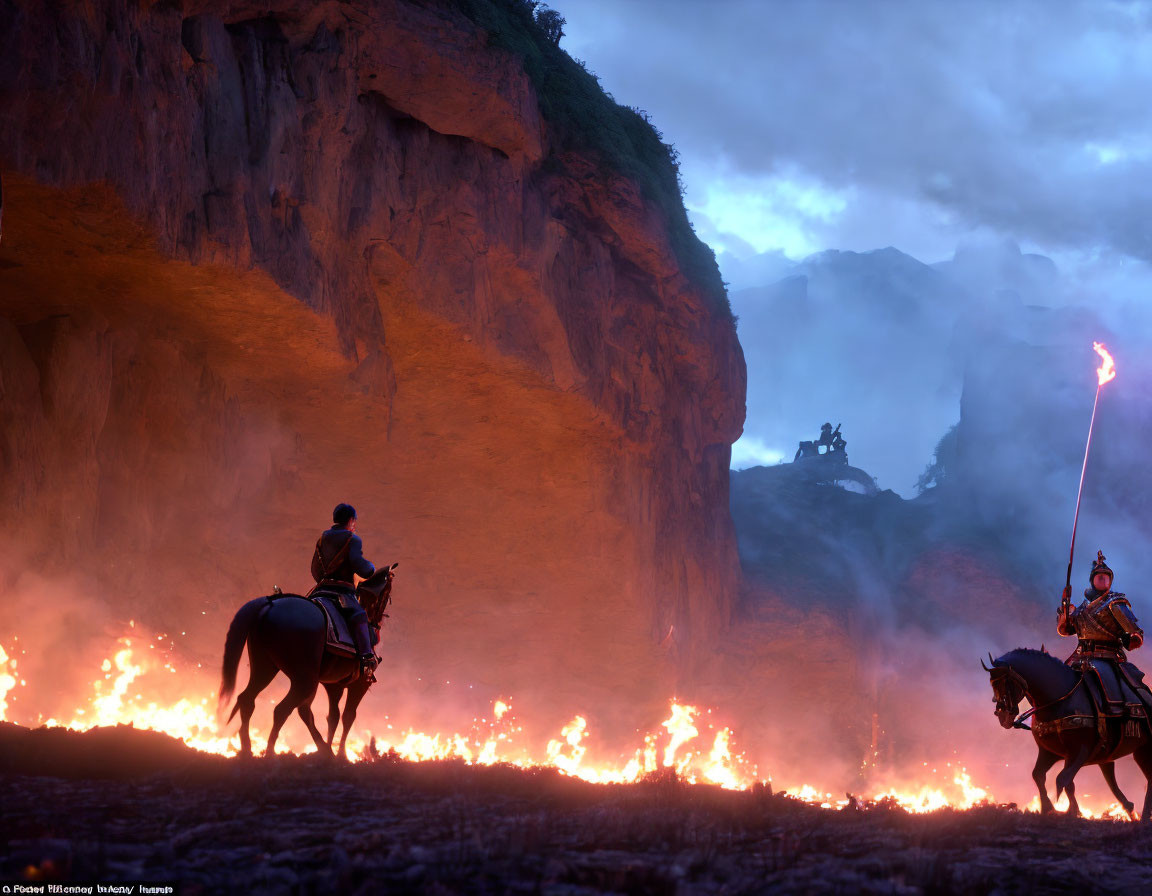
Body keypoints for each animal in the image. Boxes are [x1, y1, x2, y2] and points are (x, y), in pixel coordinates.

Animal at [217, 562, 398, 755]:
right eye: (387, 591)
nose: (378, 622)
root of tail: (271, 603)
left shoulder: (334, 686)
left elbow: (332, 716)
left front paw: (330, 748)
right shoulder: (360, 685)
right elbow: (348, 716)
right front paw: (341, 754)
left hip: (265, 668)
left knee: (248, 700)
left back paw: (248, 748)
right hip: (304, 681)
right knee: (282, 710)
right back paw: (271, 752)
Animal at [981, 649, 1152, 815]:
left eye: (1005, 683)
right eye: (992, 684)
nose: (1003, 716)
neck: (1060, 700)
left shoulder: (1080, 752)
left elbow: (1062, 779)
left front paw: (1071, 810)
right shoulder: (1049, 752)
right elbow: (1040, 775)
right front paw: (1048, 807)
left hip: (1143, 750)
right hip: (1128, 753)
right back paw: (1131, 809)